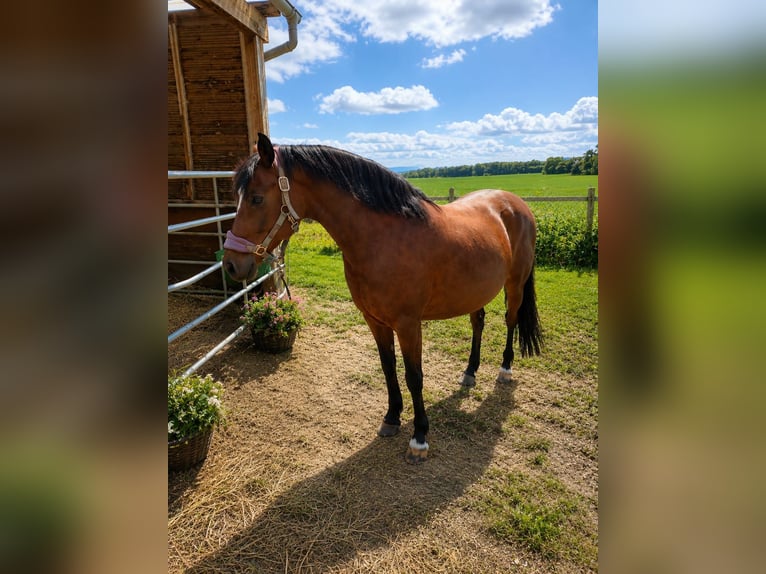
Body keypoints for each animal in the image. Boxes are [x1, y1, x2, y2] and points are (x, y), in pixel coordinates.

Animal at [223, 133, 543, 463]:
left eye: (256, 198)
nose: (231, 264)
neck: (384, 238)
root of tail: (516, 203)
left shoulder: (408, 324)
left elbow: (414, 376)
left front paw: (419, 438)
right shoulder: (375, 320)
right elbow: (388, 367)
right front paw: (391, 418)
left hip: (515, 284)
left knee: (511, 320)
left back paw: (505, 369)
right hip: (474, 292)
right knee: (478, 322)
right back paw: (469, 373)